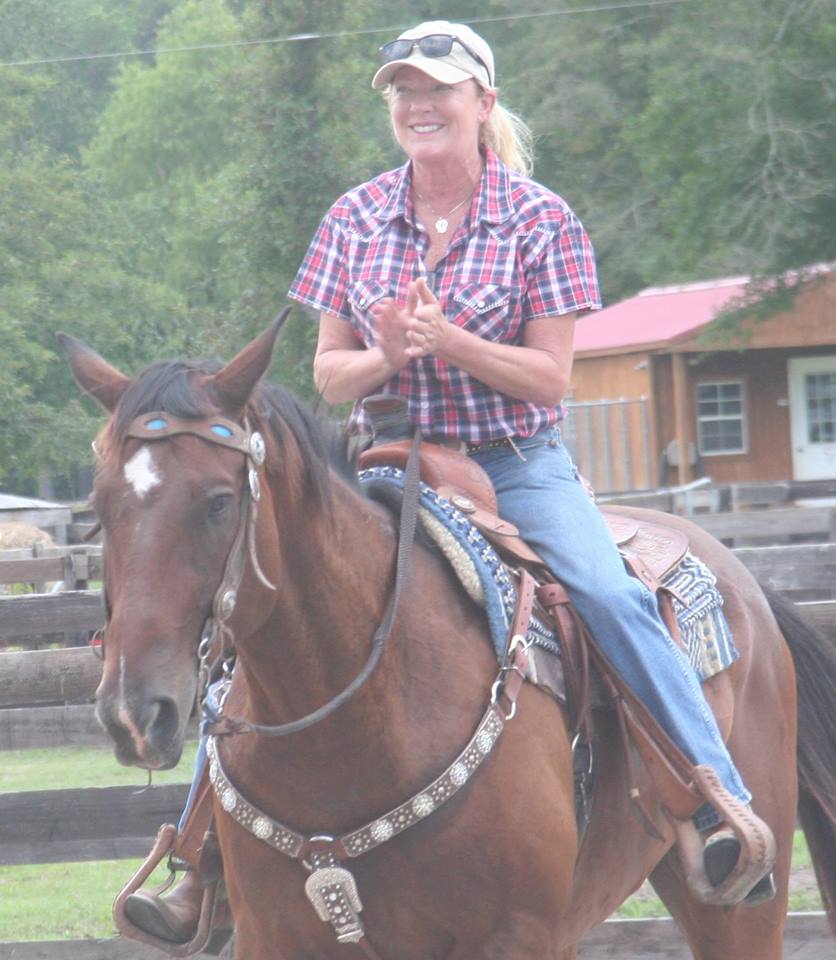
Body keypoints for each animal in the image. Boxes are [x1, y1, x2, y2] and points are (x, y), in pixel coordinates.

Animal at [62, 324, 836, 960]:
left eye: (220, 502)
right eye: (98, 508)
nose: (135, 712)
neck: (354, 725)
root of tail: (750, 582)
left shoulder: (514, 939)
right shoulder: (275, 940)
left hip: (736, 909)